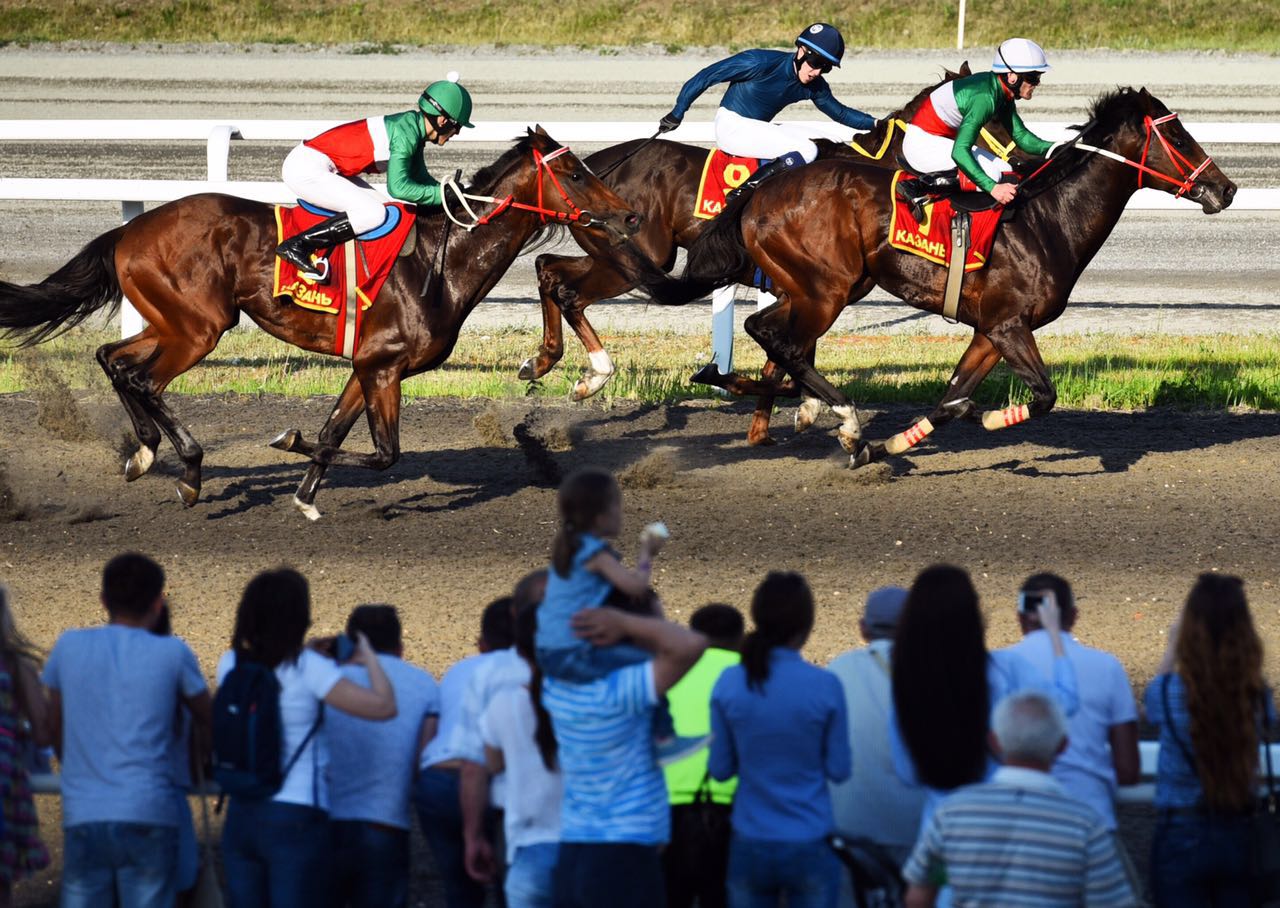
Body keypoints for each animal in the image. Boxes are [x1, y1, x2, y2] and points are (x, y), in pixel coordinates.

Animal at [0, 127, 640, 517]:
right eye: (576, 173)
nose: (629, 216)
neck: (444, 260)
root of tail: (129, 229)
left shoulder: (370, 365)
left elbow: (336, 434)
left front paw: (305, 495)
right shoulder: (383, 366)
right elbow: (384, 453)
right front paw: (288, 442)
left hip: (173, 321)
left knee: (112, 359)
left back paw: (144, 453)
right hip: (199, 327)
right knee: (143, 379)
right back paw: (188, 469)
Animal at [527, 62, 1018, 399]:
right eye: (995, 119)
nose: (1019, 161)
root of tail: (595, 166)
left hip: (617, 255)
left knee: (549, 269)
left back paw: (543, 361)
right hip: (640, 258)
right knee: (569, 290)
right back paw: (590, 375)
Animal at [634, 87, 1233, 461]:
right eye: (1179, 137)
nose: (1225, 189)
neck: (1045, 220)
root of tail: (760, 189)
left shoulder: (991, 331)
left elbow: (950, 399)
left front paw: (892, 445)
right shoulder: (1011, 326)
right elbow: (1041, 396)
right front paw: (987, 419)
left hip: (820, 286)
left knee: (778, 339)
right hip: (826, 288)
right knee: (772, 335)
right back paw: (836, 414)